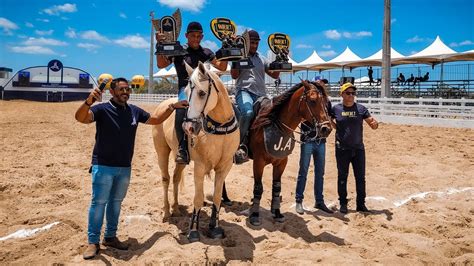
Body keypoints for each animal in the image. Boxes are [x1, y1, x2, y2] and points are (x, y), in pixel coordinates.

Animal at [153, 61, 239, 241]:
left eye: (201, 92)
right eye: (186, 92)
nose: (188, 127)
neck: (219, 128)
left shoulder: (224, 167)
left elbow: (217, 197)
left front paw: (215, 228)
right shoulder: (199, 166)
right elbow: (198, 199)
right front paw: (193, 231)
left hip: (180, 159)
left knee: (176, 178)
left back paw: (176, 209)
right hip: (161, 151)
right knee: (165, 179)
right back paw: (166, 213)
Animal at [248, 80, 330, 225]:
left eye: (325, 102)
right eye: (313, 100)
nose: (326, 128)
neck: (274, 124)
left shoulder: (281, 162)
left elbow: (277, 187)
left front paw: (277, 213)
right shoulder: (258, 162)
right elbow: (258, 188)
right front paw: (255, 215)